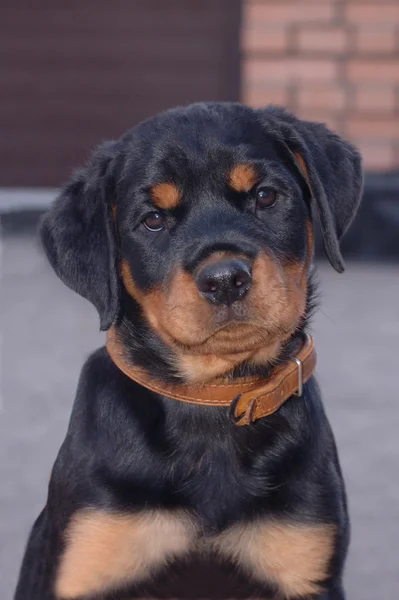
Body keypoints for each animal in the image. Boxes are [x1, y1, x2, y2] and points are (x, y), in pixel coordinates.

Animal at [14, 104, 362, 600]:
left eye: (266, 196)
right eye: (153, 220)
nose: (225, 279)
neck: (213, 398)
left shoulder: (304, 561)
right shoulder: (91, 555)